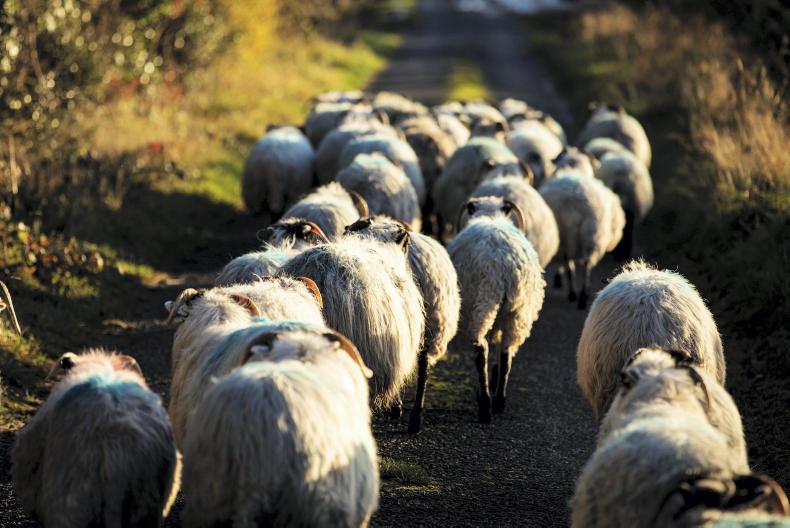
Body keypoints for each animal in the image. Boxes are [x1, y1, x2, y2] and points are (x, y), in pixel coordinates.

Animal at [449, 197, 546, 423]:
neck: (491, 215)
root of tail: (503, 264)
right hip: (518, 311)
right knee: (506, 352)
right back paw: (499, 400)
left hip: (482, 302)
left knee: (480, 349)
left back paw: (485, 405)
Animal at [539, 172, 622, 309]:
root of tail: (581, 207)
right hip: (590, 237)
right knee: (585, 266)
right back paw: (582, 295)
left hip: (571, 239)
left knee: (573, 268)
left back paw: (576, 294)